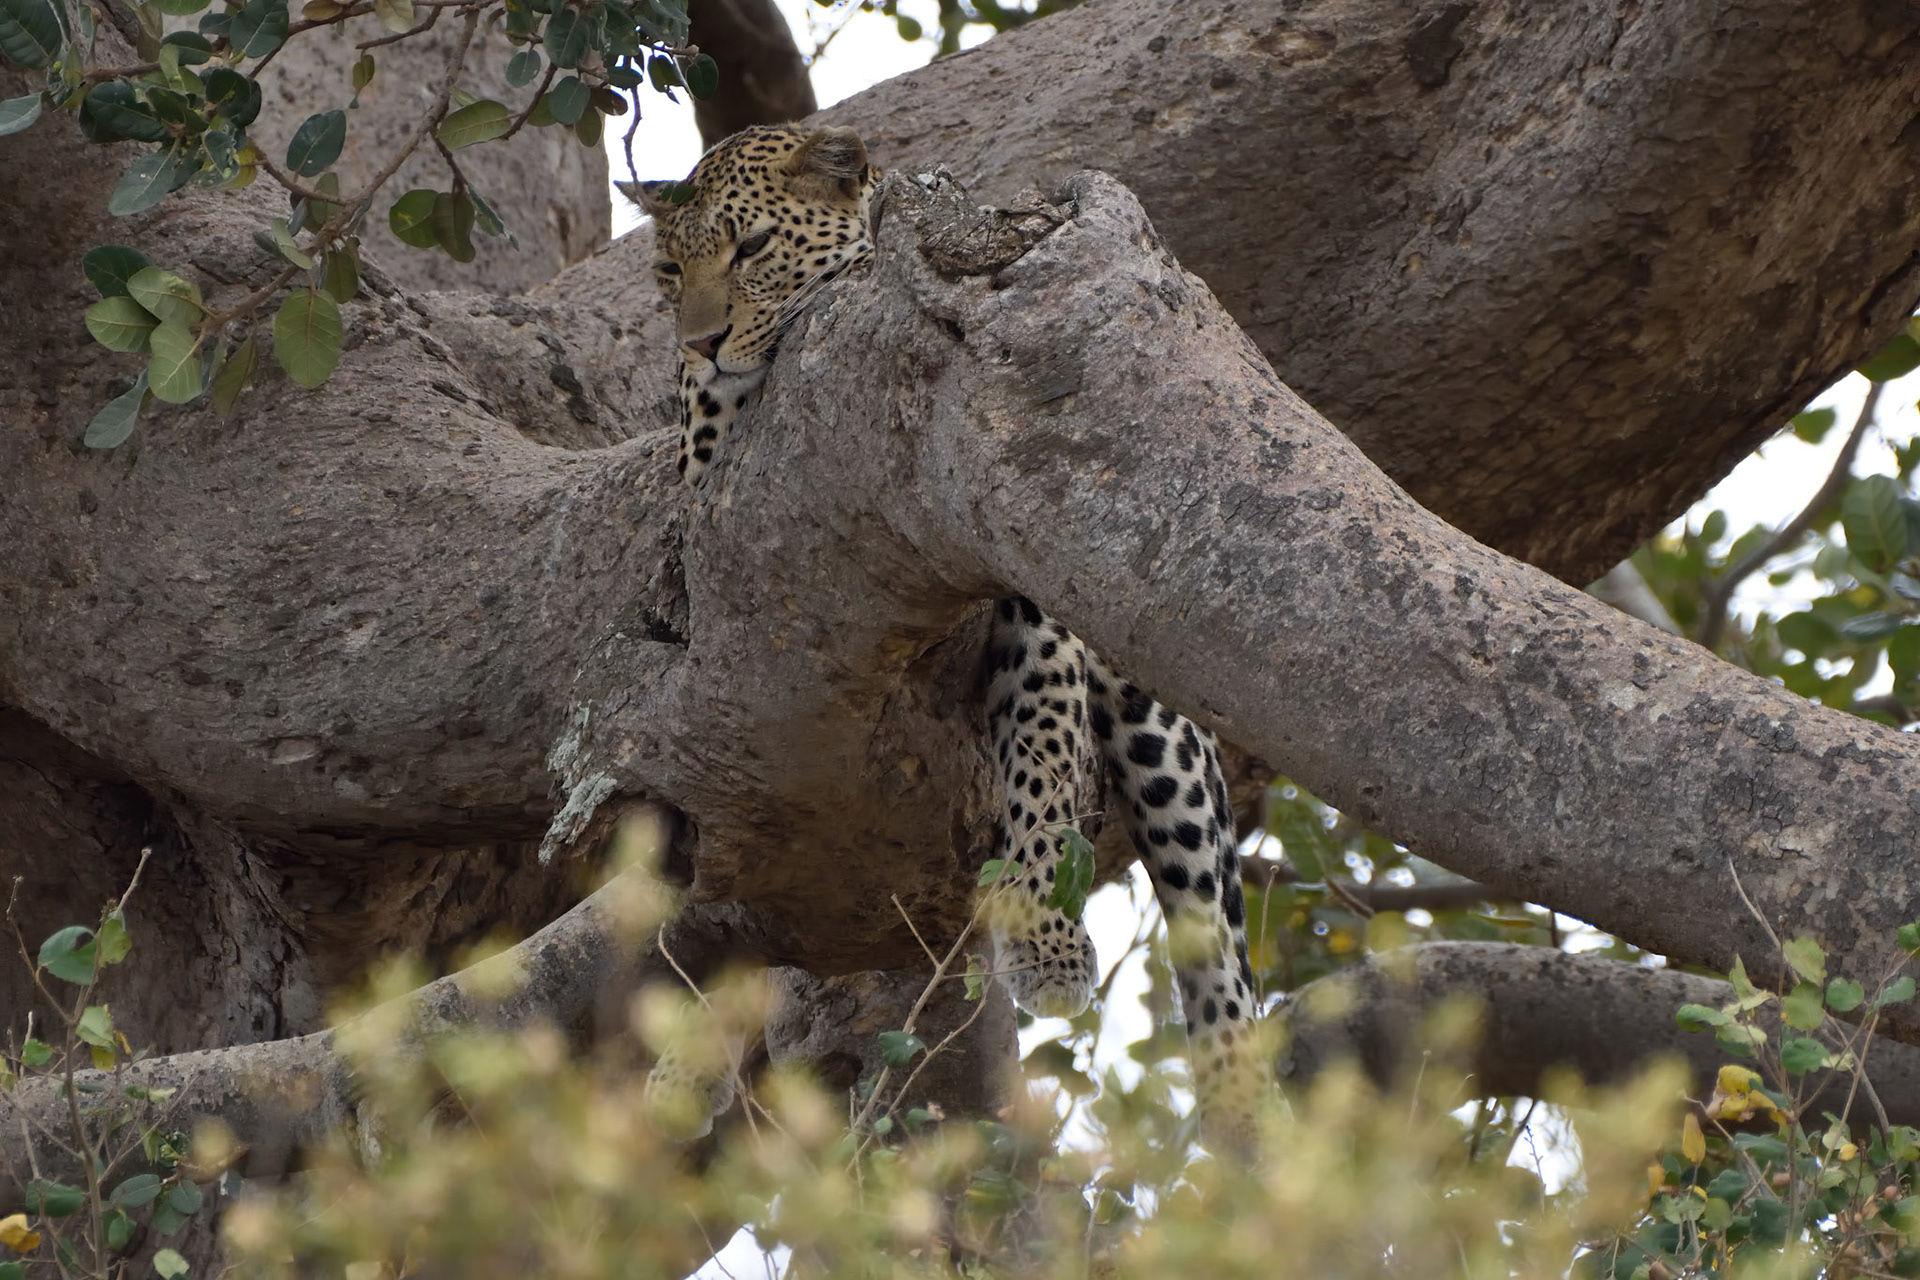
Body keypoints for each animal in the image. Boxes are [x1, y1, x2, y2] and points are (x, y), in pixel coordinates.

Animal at [629, 123, 1267, 1141]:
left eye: (753, 248)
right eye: (665, 269)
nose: (700, 343)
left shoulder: (1027, 584)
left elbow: (1042, 735)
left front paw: (1044, 939)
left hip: (1159, 720)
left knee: (1214, 931)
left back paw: (1242, 1099)